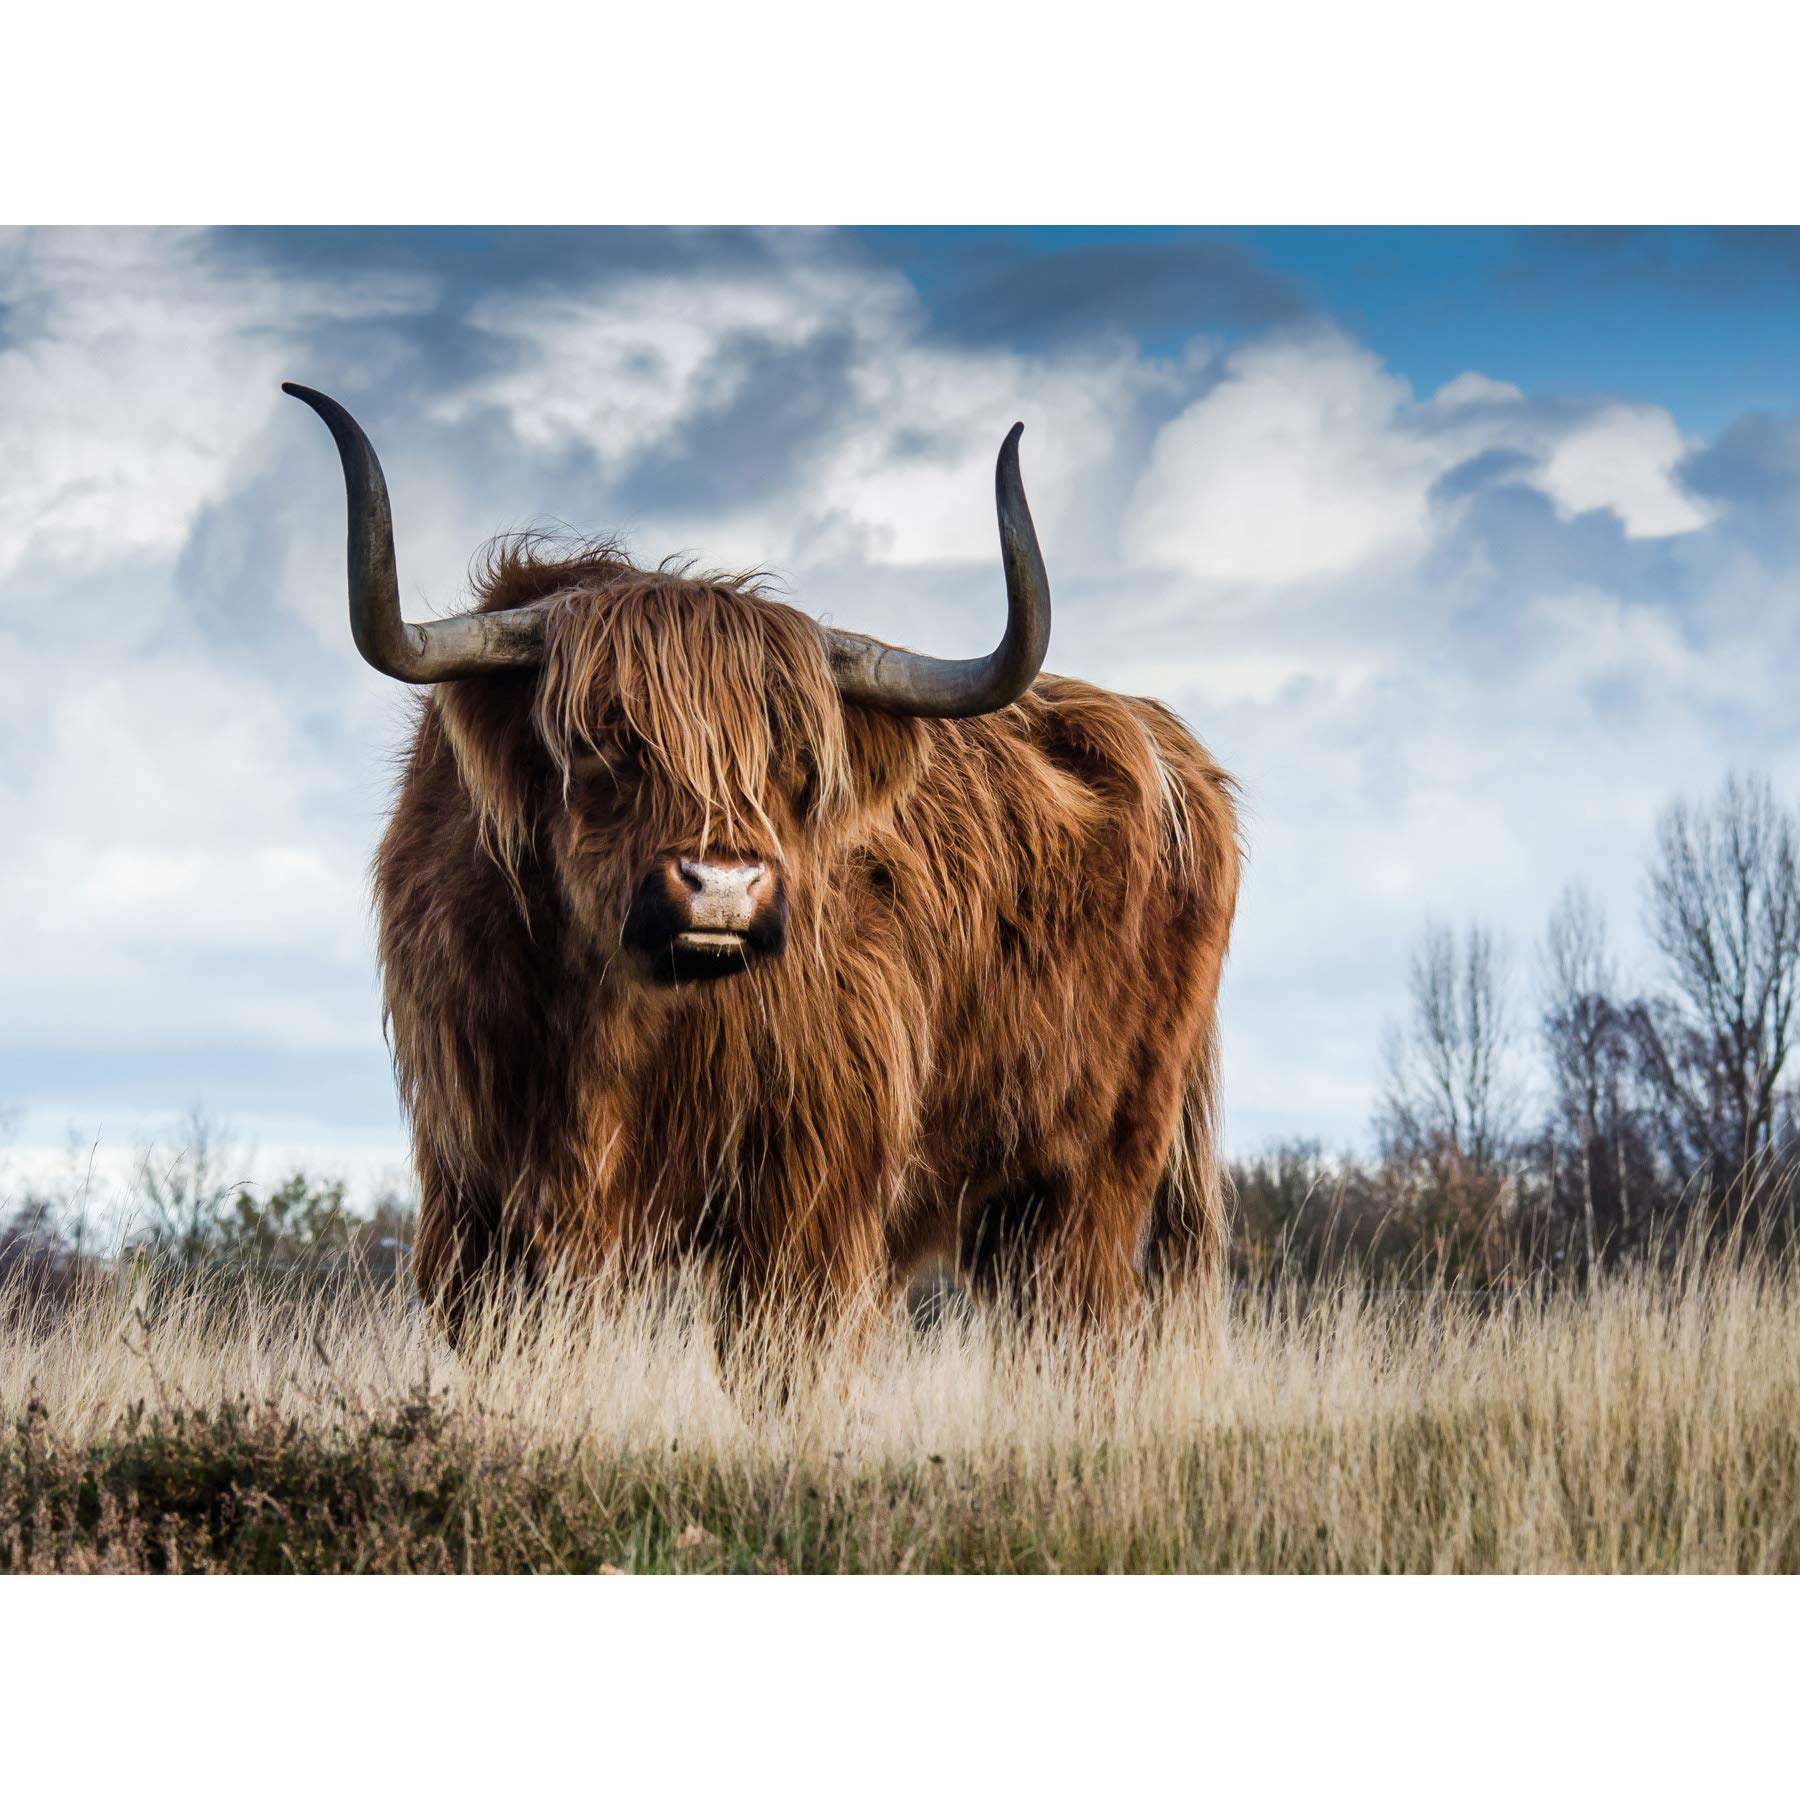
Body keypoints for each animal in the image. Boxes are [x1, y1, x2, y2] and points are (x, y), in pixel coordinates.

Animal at [285, 383, 1241, 1358]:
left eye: (796, 760)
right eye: (602, 740)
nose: (723, 886)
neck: (607, 1024)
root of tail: (1170, 745)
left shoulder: (808, 1192)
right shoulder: (474, 1187)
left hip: (1096, 1172)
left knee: (1088, 1326)